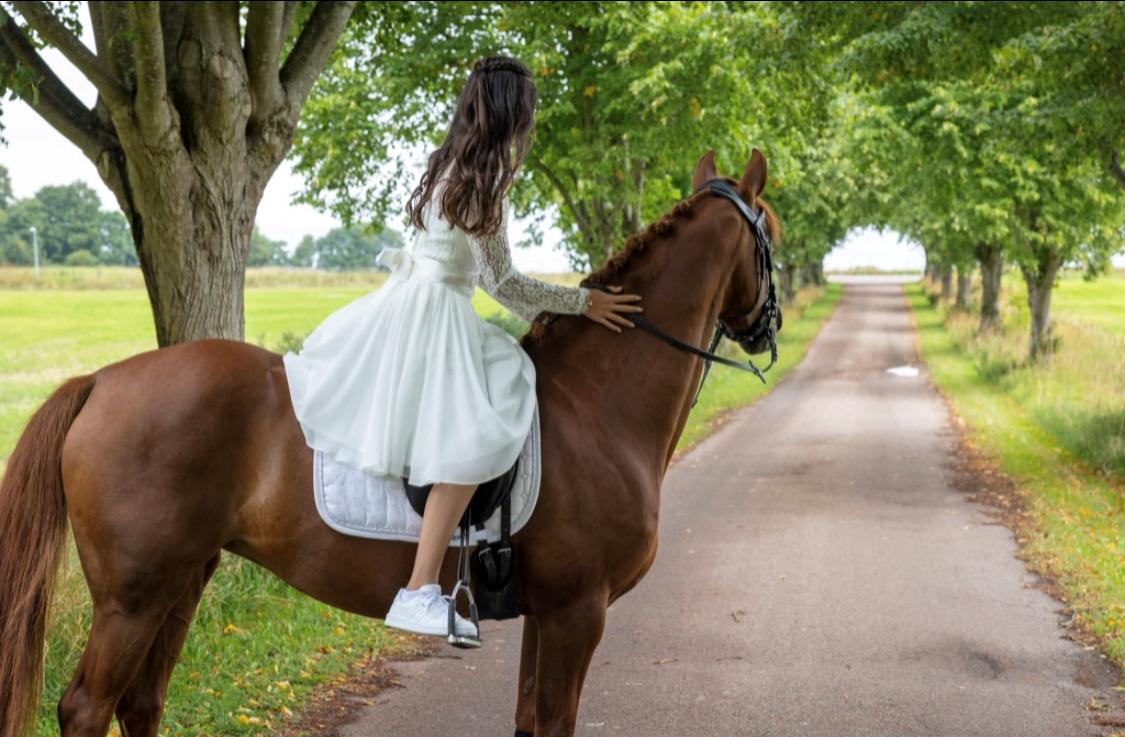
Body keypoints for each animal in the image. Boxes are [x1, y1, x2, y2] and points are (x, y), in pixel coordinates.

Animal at [0, 147, 778, 733]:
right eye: (769, 225)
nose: (767, 328)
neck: (596, 402)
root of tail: (102, 379)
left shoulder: (549, 617)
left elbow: (528, 720)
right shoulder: (575, 613)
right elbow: (553, 722)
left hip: (182, 580)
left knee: (140, 702)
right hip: (131, 598)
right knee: (86, 707)